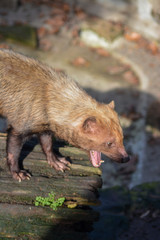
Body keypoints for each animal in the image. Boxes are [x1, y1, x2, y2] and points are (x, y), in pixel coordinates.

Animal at [0, 50, 129, 182]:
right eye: (109, 143)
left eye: (122, 137)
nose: (126, 158)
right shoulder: (19, 127)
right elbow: (13, 152)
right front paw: (18, 173)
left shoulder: (45, 128)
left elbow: (47, 145)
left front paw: (58, 162)